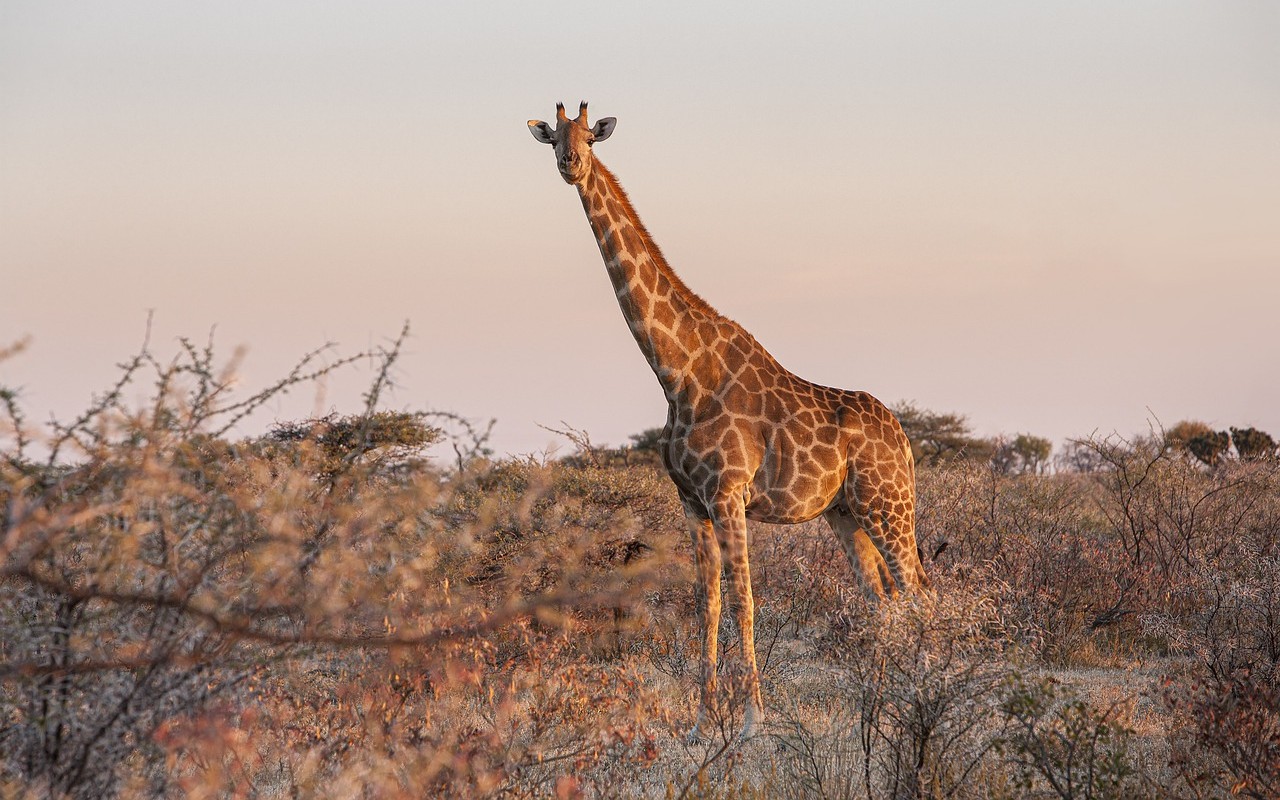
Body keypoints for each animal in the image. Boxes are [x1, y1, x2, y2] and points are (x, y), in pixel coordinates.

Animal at [527, 103, 931, 737]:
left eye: (590, 136)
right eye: (553, 138)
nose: (571, 164)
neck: (678, 371)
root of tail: (905, 440)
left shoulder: (729, 493)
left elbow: (744, 597)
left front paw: (751, 719)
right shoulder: (691, 500)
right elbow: (706, 601)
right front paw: (701, 719)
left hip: (888, 503)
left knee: (917, 593)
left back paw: (925, 695)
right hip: (846, 513)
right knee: (882, 596)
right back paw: (882, 706)